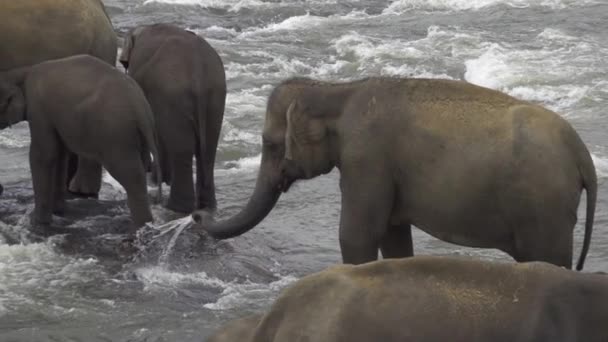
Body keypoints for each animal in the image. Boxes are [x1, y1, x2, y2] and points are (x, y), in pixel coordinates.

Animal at [0, 54, 162, 227]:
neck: (21, 72)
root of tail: (141, 108)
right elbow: (60, 154)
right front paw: (58, 212)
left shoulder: (38, 108)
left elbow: (44, 154)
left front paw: (36, 221)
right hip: (138, 136)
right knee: (140, 167)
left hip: (116, 134)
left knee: (131, 175)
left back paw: (142, 225)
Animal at [119, 22, 226, 214]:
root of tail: (198, 73)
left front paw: (155, 179)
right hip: (215, 96)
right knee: (208, 149)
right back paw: (207, 206)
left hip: (173, 95)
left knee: (182, 148)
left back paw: (177, 207)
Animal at [195, 77, 600, 270]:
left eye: (269, 143)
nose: (198, 213)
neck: (339, 89)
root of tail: (583, 154)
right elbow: (393, 238)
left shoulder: (365, 159)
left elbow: (357, 235)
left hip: (544, 208)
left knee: (549, 261)